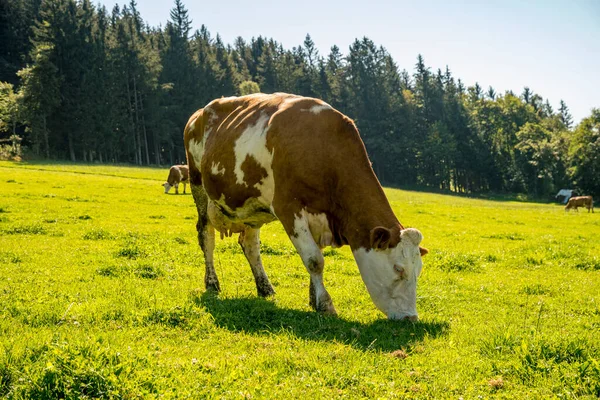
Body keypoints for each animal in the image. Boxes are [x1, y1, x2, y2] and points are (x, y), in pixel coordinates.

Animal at [185, 92, 428, 320]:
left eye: (419, 270)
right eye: (398, 269)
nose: (411, 317)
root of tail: (199, 114)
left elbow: (315, 254)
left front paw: (314, 299)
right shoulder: (288, 208)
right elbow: (314, 260)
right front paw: (325, 304)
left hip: (251, 208)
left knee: (251, 245)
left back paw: (265, 287)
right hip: (198, 185)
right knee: (206, 236)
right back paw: (212, 282)